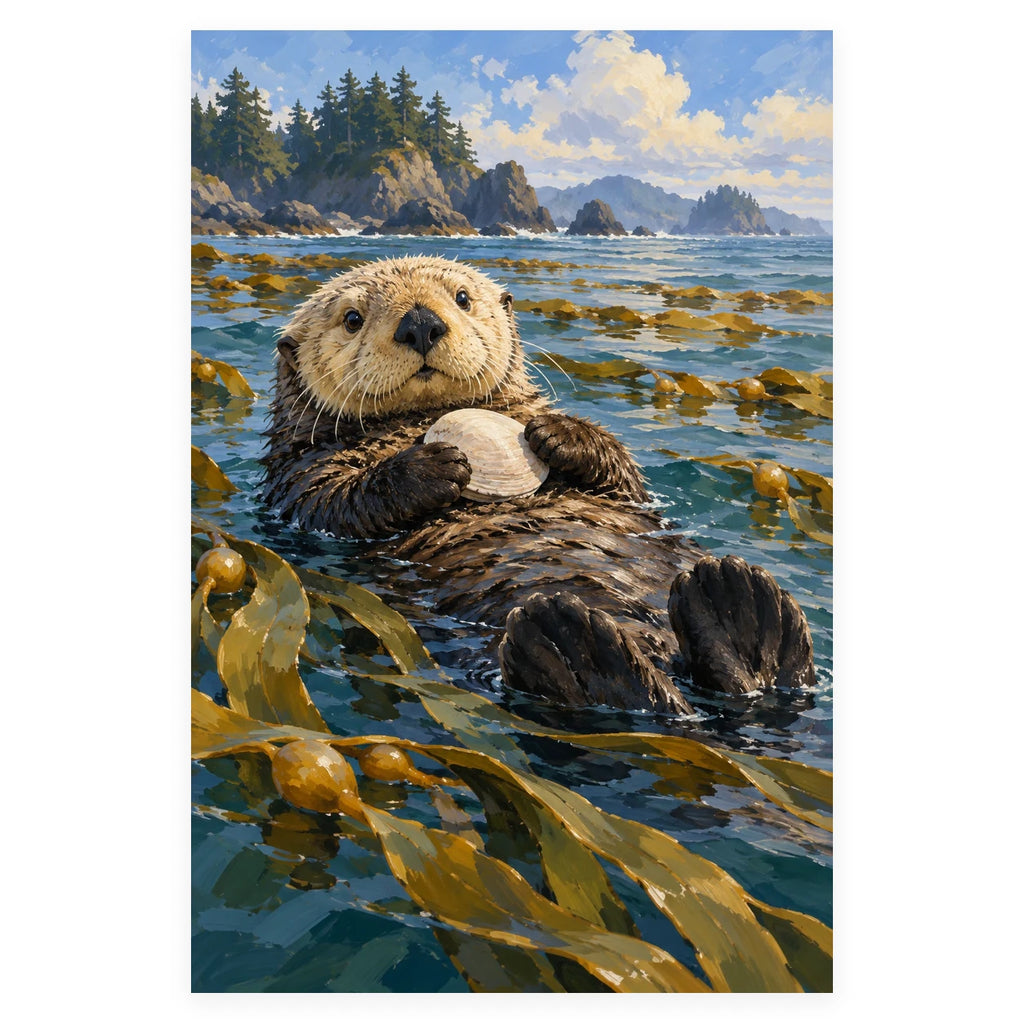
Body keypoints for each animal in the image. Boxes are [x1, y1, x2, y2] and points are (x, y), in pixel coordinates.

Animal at [262, 255, 816, 715]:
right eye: (352, 319)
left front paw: (558, 434)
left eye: (462, 297)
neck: (420, 419)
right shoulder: (300, 476)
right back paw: (577, 643)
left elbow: (626, 478)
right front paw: (435, 466)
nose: (419, 322)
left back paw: (738, 607)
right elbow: (338, 503)